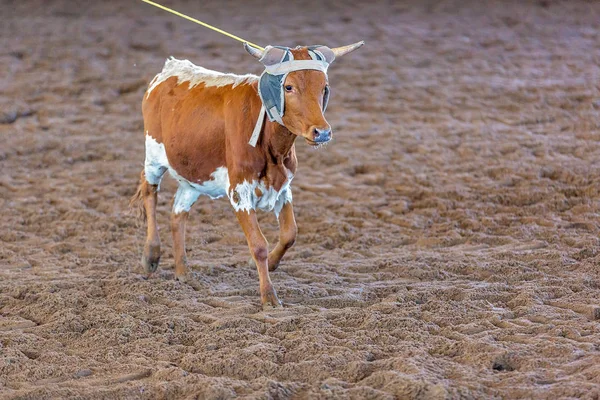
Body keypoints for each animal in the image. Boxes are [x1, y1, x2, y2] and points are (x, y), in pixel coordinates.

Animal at [131, 41, 364, 310]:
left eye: (324, 87)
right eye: (288, 87)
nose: (322, 132)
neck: (271, 143)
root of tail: (170, 69)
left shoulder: (283, 187)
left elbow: (289, 234)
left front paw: (272, 262)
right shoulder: (239, 191)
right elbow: (258, 244)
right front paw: (269, 296)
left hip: (194, 176)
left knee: (177, 214)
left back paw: (183, 272)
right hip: (154, 156)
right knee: (149, 193)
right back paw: (151, 254)